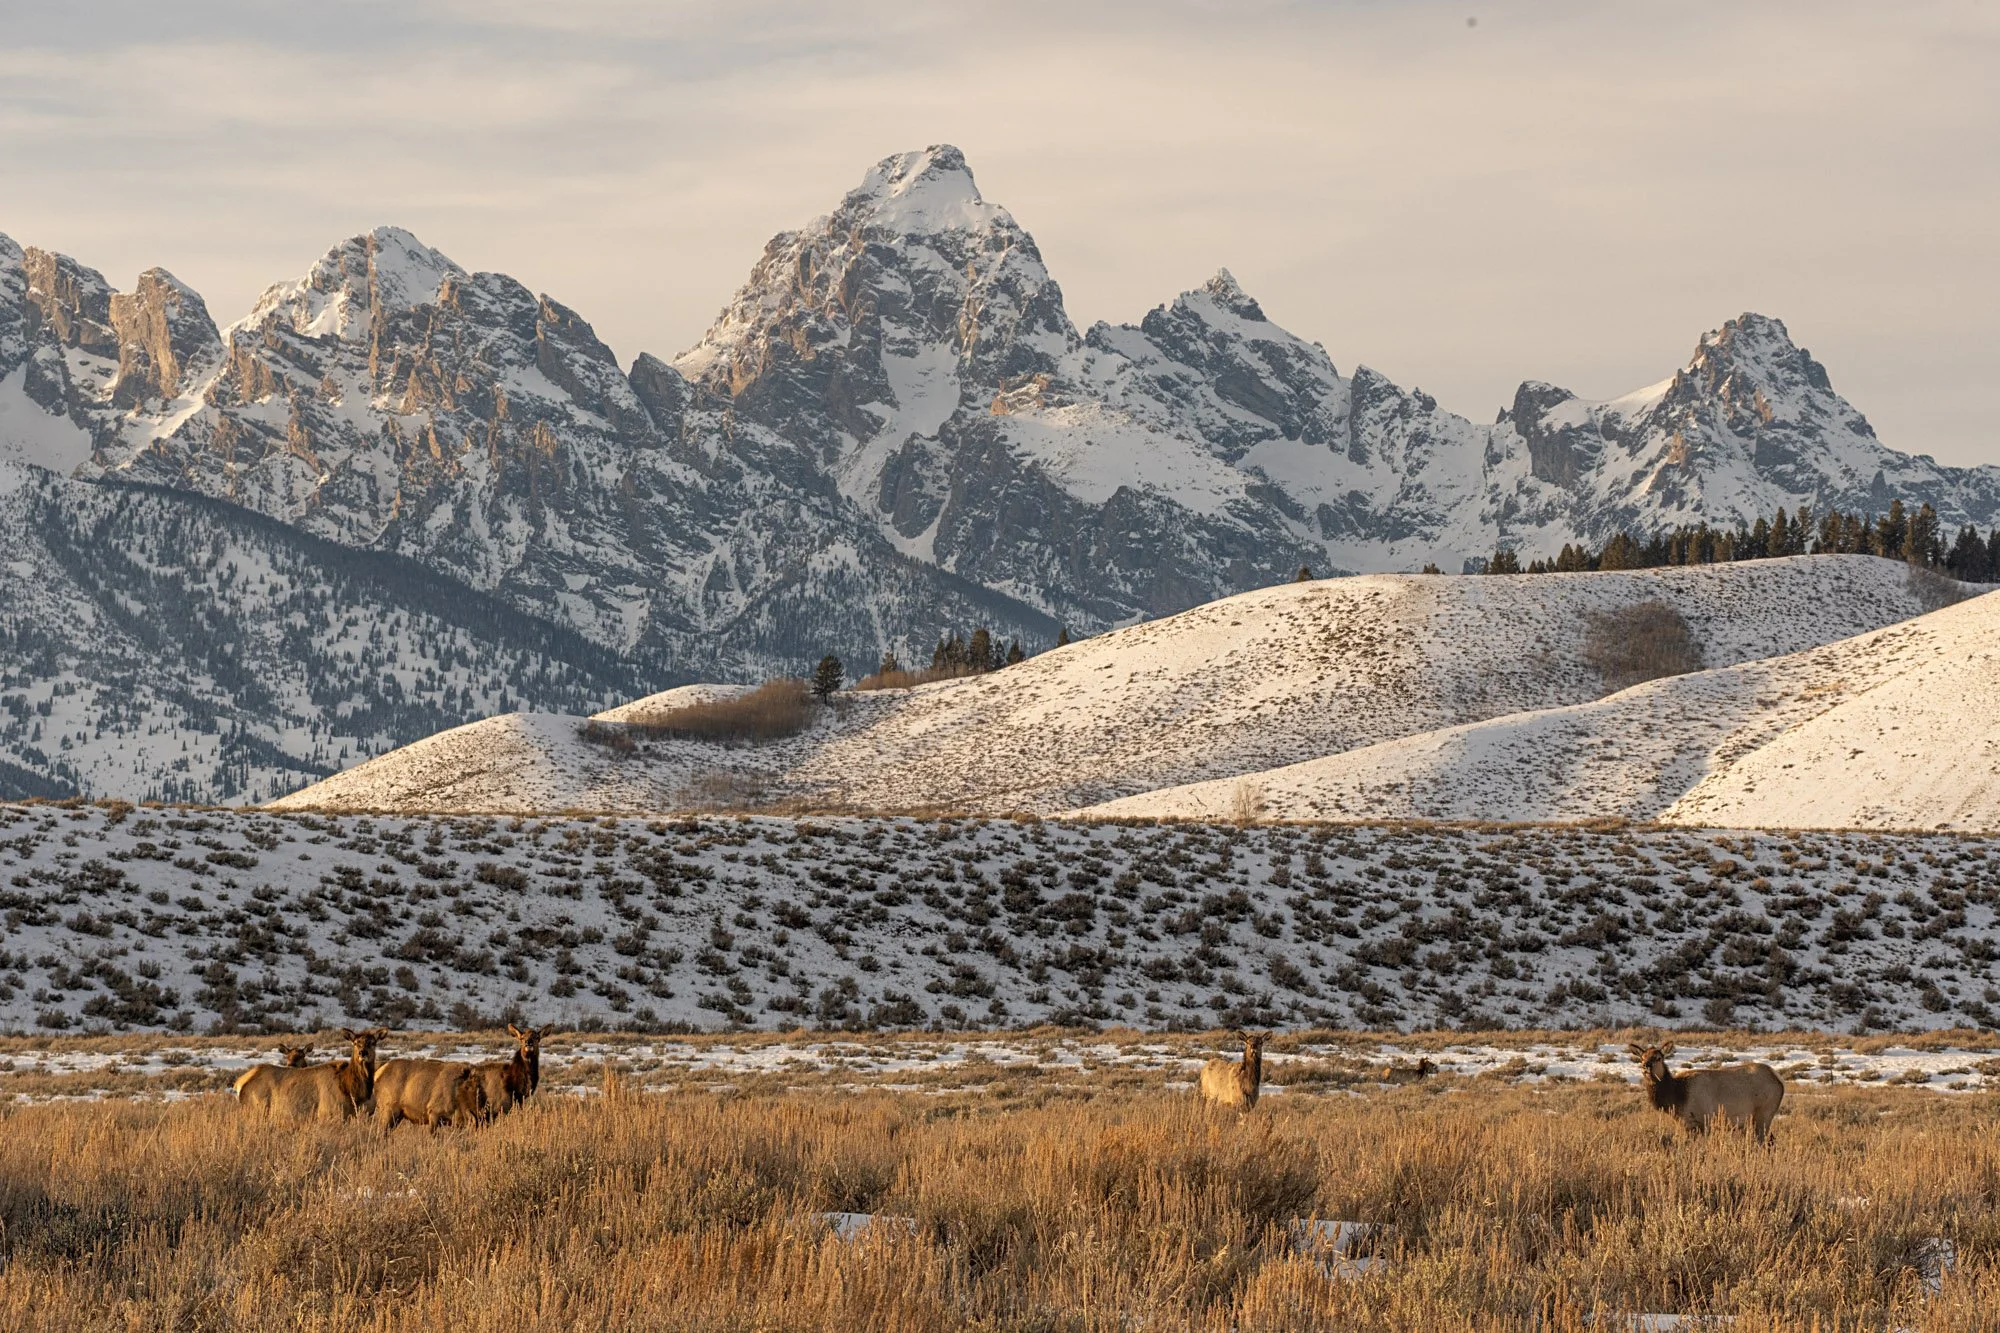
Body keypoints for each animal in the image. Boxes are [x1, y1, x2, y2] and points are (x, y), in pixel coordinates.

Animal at [234, 1029, 383, 1123]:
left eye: (373, 1043)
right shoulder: (328, 1114)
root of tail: (239, 1083)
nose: (363, 1053)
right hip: (255, 1109)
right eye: (356, 1043)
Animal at [1627, 1041, 1785, 1142]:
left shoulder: (1704, 1121)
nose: (1645, 1066)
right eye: (1641, 1058)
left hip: (1763, 1114)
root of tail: (1779, 1080)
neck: (1677, 1096)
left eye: (1658, 1058)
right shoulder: (1687, 1124)